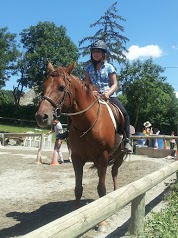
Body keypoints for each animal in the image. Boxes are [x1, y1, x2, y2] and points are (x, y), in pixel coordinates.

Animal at [35, 62, 125, 207]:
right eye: (44, 86)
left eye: (62, 87)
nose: (41, 116)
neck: (87, 125)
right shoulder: (77, 158)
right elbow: (78, 189)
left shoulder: (103, 158)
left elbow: (101, 189)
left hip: (119, 156)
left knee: (114, 172)